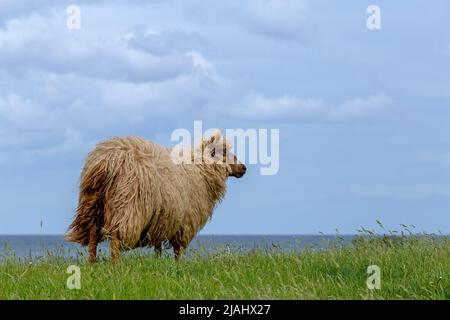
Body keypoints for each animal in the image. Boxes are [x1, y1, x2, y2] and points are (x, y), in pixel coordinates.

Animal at [65, 131, 246, 262]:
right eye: (223, 152)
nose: (243, 167)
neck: (199, 167)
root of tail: (107, 160)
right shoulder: (184, 221)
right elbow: (178, 249)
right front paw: (177, 265)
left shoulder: (163, 217)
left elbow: (158, 245)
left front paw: (158, 263)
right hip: (126, 204)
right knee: (116, 237)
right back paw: (115, 267)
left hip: (94, 204)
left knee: (93, 234)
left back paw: (92, 263)